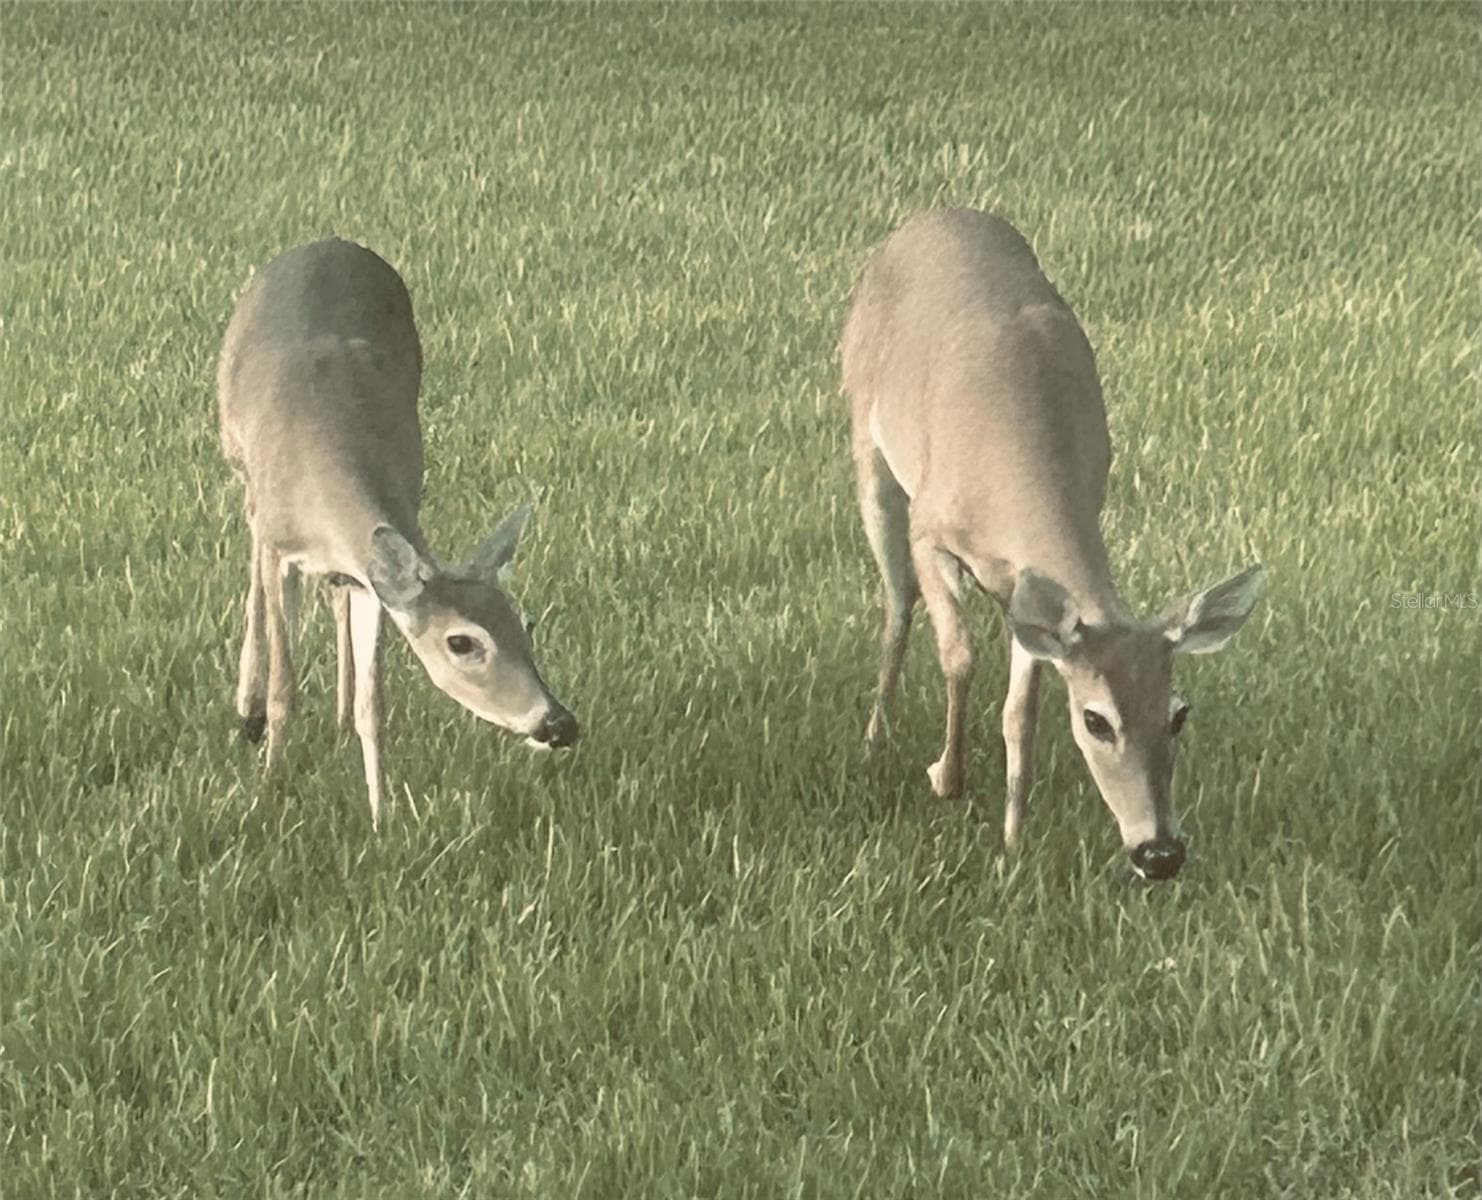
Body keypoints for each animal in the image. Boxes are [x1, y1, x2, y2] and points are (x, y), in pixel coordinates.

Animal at [218, 238, 578, 830]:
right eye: (462, 642)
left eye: (526, 622)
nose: (559, 723)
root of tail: (326, 241)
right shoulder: (279, 544)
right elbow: (284, 685)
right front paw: (269, 786)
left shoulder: (374, 574)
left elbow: (375, 704)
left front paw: (381, 815)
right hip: (237, 460)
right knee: (252, 567)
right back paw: (246, 711)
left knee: (335, 596)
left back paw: (338, 718)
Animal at [841, 209, 1264, 880]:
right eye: (1096, 721)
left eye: (1179, 713)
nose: (1161, 852)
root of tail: (933, 215)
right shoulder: (931, 529)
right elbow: (958, 655)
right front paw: (946, 778)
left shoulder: (1028, 591)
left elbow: (1021, 713)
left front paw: (1012, 842)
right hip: (866, 438)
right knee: (897, 599)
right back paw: (874, 736)